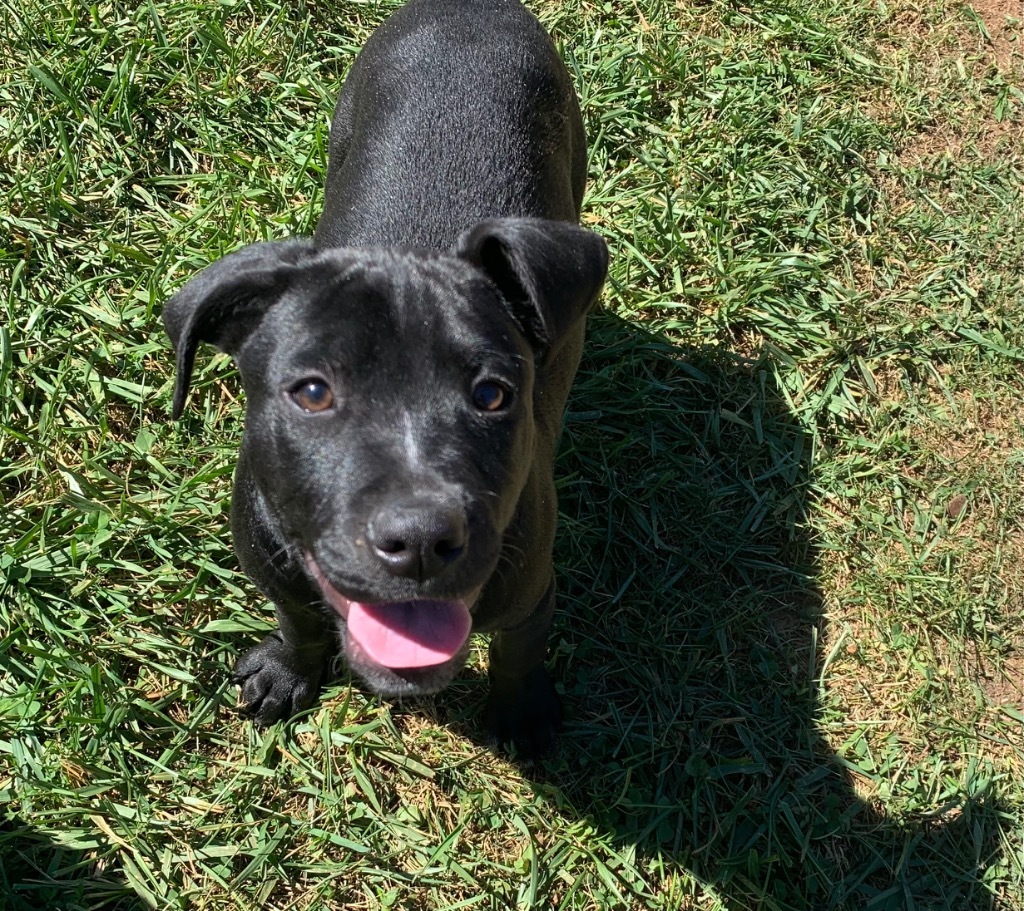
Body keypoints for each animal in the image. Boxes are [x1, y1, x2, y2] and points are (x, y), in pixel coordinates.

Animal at [163, 0, 608, 756]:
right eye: (313, 392)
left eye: (492, 395)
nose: (421, 536)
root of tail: (470, 8)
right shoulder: (274, 564)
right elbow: (299, 619)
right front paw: (288, 671)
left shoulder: (531, 590)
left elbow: (519, 653)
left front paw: (521, 713)